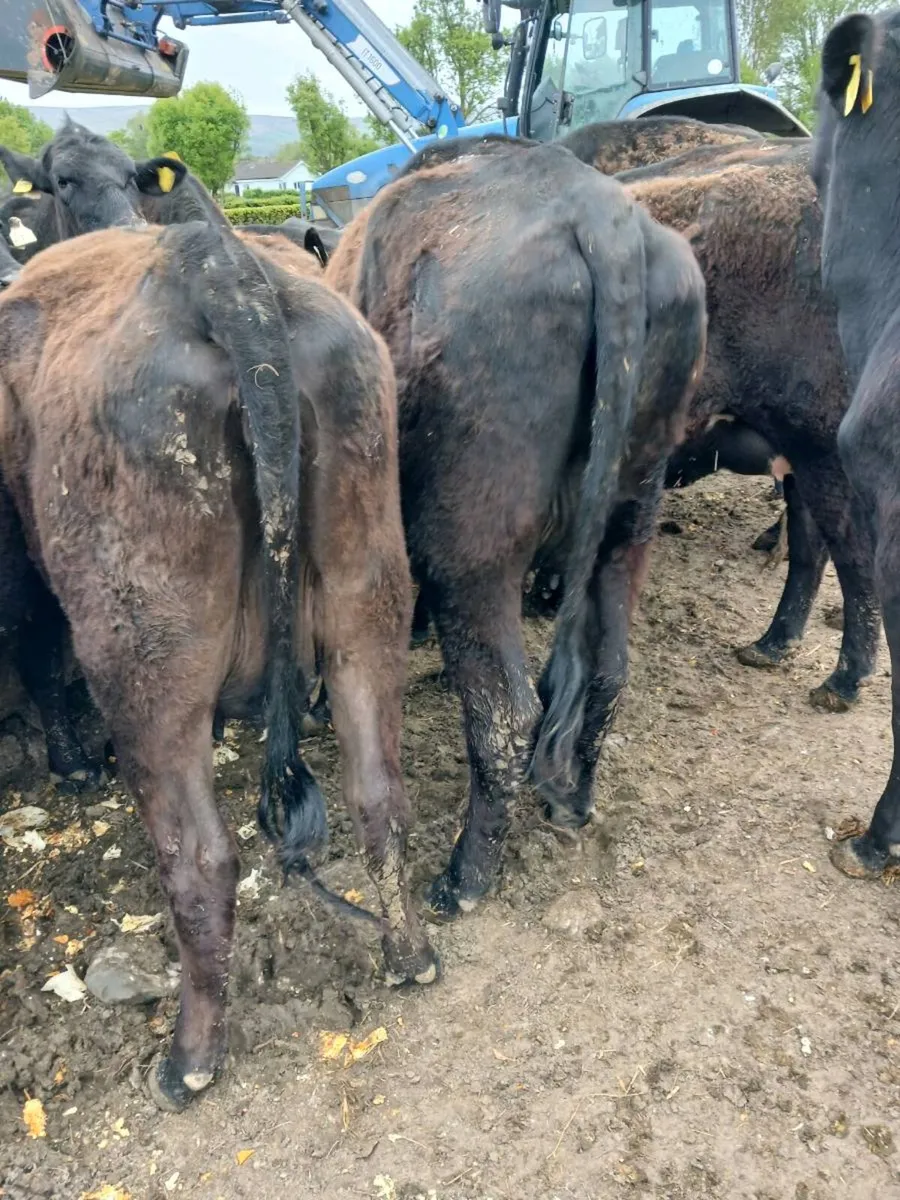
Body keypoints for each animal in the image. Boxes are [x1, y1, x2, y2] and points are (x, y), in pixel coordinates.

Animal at [326, 135, 706, 918]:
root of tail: (601, 213)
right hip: (630, 523)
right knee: (607, 673)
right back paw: (573, 804)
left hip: (474, 554)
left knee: (506, 715)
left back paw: (464, 878)